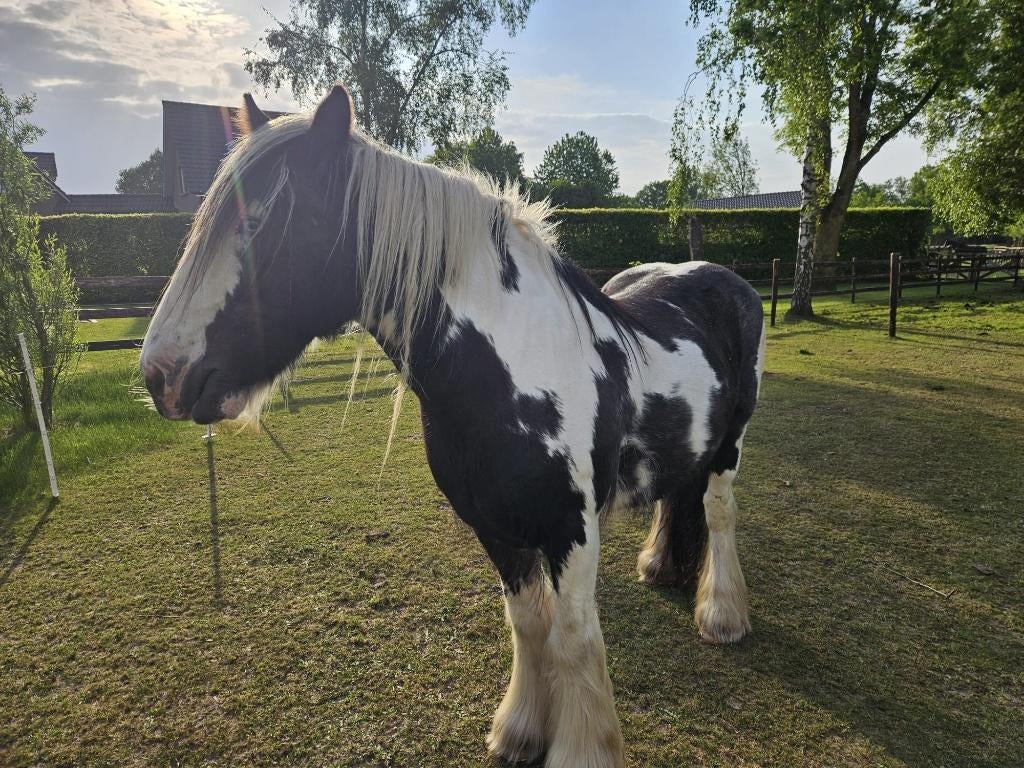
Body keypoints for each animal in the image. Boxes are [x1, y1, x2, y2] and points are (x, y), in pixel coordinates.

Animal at [141, 85, 765, 768]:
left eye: (260, 223)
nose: (160, 375)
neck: (515, 365)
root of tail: (716, 275)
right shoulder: (495, 527)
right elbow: (528, 624)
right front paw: (519, 730)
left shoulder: (571, 531)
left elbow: (573, 638)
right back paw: (662, 567)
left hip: (731, 445)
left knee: (719, 512)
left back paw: (722, 615)